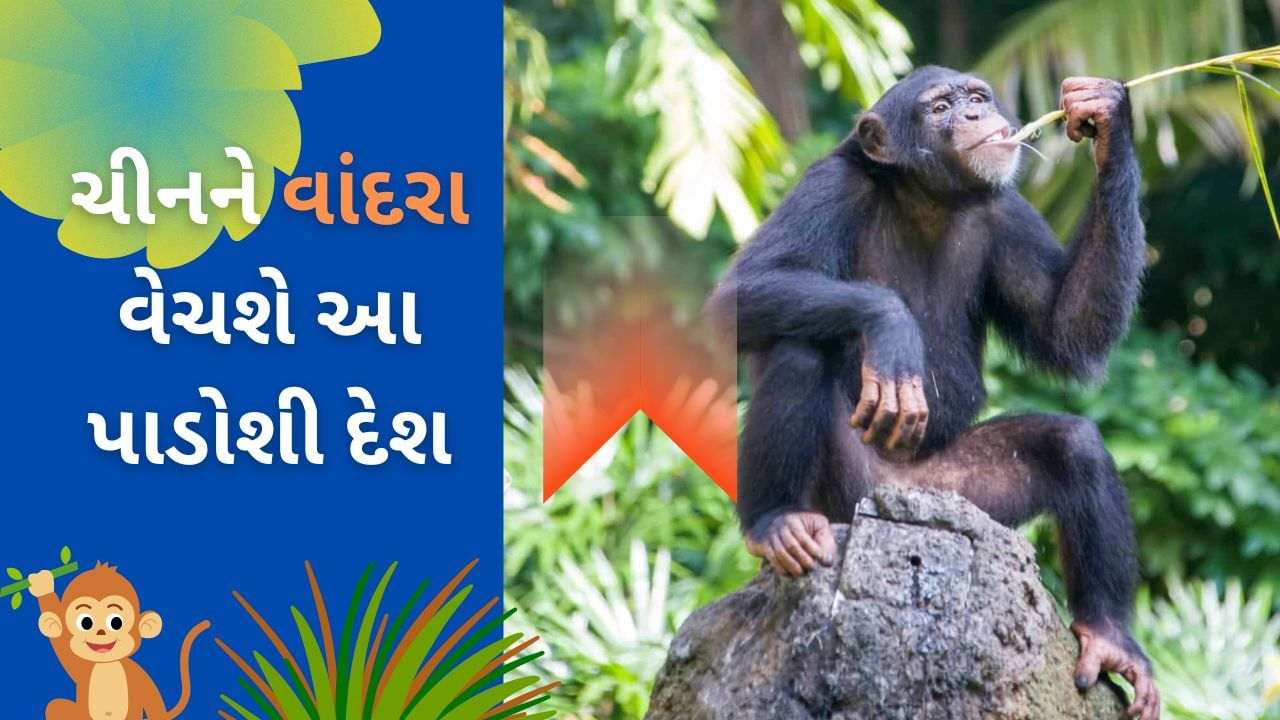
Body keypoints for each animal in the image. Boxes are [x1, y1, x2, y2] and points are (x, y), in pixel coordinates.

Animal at [27, 562, 210, 720]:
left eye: (116, 622)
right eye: (85, 622)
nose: (101, 632)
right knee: (54, 706)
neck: (107, 664)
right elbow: (63, 649)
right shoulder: (83, 668)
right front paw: (43, 586)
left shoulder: (139, 676)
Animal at [708, 67, 1159, 719]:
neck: (927, 197)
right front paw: (892, 328)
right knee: (800, 353)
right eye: (940, 107)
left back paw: (1108, 638)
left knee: (1073, 446)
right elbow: (742, 294)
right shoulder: (828, 188)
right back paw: (777, 523)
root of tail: (896, 501)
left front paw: (1105, 115)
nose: (973, 115)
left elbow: (1065, 325)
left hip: (964, 500)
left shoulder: (1009, 211)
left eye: (976, 97)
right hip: (843, 496)